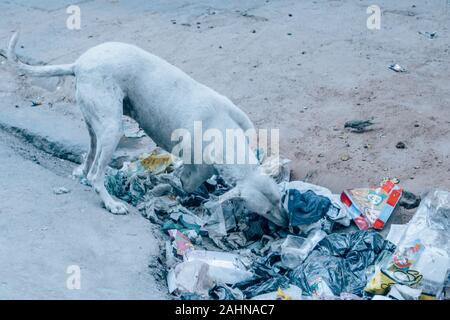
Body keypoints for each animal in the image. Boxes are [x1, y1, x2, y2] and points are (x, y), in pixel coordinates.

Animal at [7, 32, 288, 226]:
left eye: (280, 199)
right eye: (265, 211)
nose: (289, 226)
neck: (225, 136)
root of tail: (78, 64)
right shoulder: (197, 167)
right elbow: (188, 183)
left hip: (95, 122)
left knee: (89, 155)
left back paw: (81, 173)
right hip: (112, 126)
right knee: (96, 174)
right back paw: (111, 203)